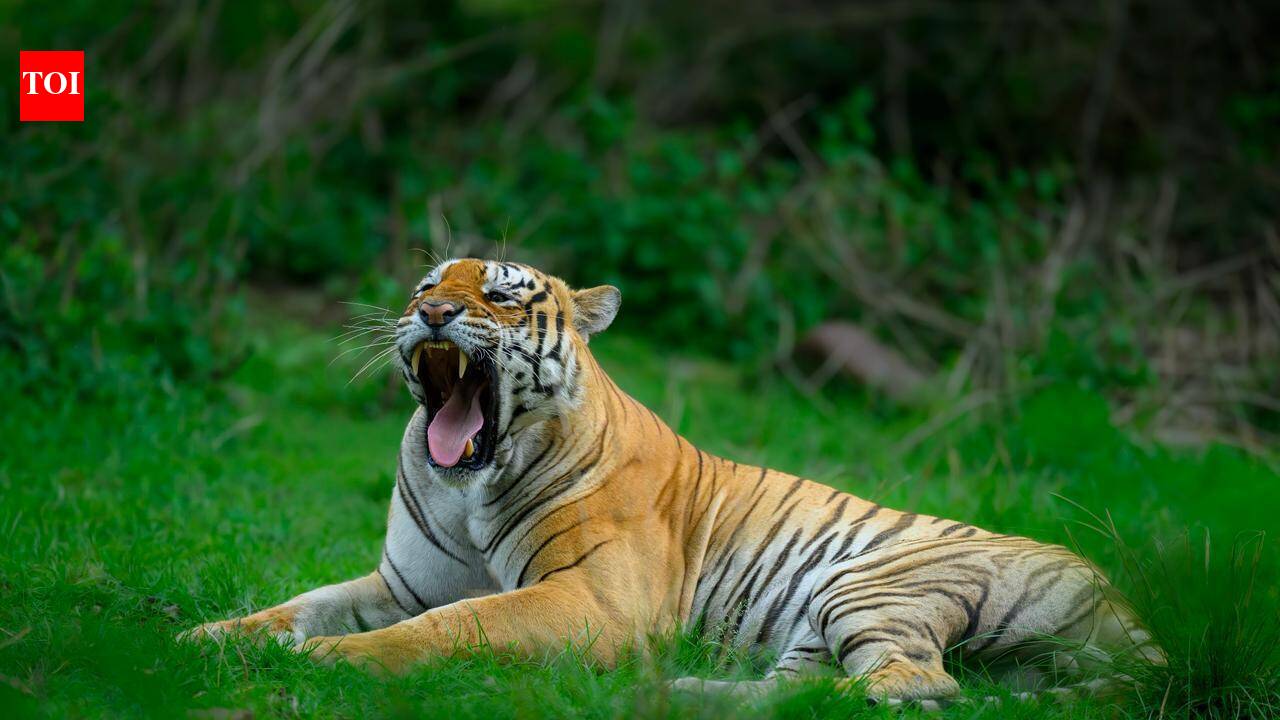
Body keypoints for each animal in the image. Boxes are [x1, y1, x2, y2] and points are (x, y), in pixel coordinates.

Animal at [181, 258, 1162, 709]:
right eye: (426, 282)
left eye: (500, 294)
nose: (430, 312)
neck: (470, 484)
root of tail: (1122, 593)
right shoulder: (399, 583)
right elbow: (294, 606)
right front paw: (201, 640)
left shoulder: (593, 599)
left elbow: (458, 625)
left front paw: (329, 664)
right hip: (819, 627)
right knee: (804, 686)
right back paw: (688, 697)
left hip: (870, 585)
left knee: (916, 685)